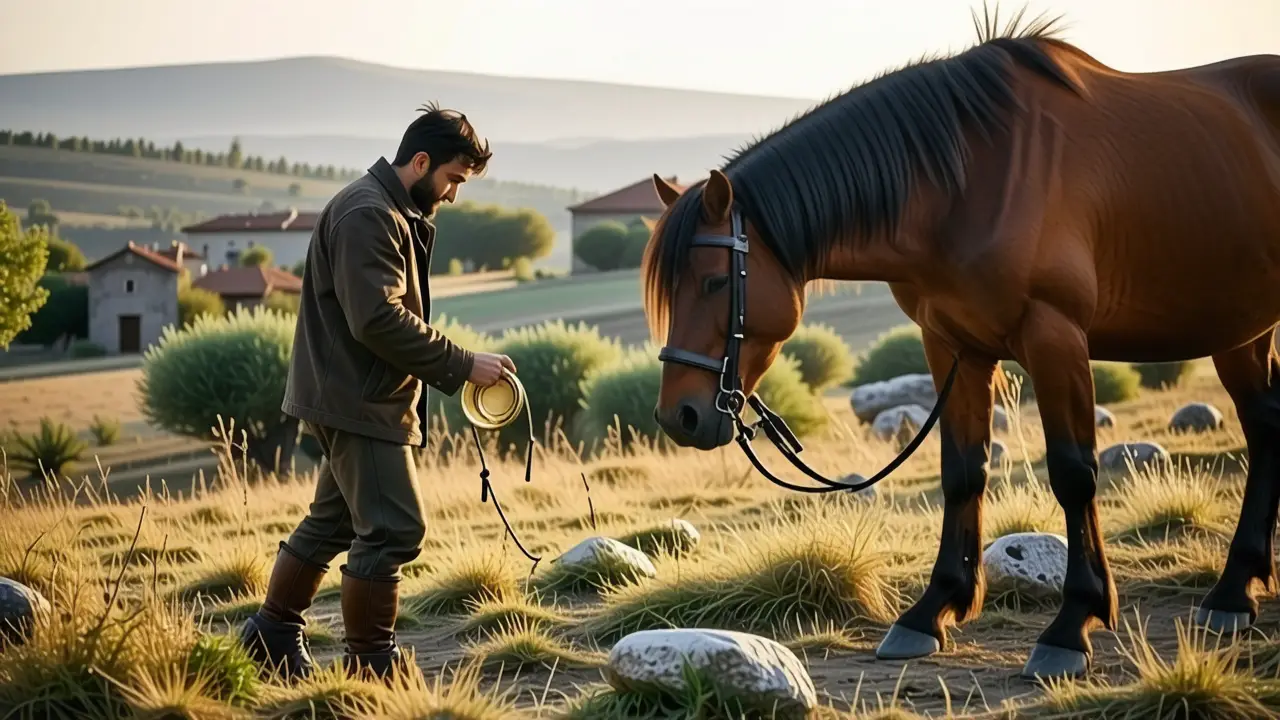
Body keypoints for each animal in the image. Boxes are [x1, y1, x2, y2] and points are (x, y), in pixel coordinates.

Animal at [640, 10, 1280, 680]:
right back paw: (1235, 590)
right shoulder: (954, 346)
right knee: (1266, 427)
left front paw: (1072, 623)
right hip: (1241, 329)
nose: (680, 416)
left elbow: (1073, 472)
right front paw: (931, 611)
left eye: (715, 282)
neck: (967, 183)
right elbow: (962, 472)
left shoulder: (1055, 338)